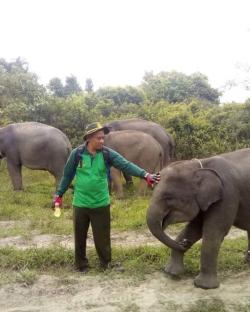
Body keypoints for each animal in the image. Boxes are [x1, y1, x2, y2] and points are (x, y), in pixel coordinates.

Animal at [146, 149, 250, 290]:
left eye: (168, 197)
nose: (184, 243)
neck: (199, 166)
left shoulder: (228, 194)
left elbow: (214, 232)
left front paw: (203, 286)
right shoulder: (204, 200)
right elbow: (194, 229)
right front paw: (171, 273)